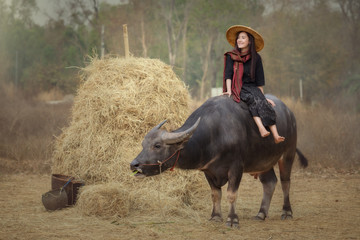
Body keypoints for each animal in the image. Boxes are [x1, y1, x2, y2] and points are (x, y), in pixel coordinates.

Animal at [131, 94, 308, 228]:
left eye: (157, 145)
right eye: (143, 144)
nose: (134, 165)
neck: (215, 134)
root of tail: (289, 113)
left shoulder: (236, 168)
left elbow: (231, 194)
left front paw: (232, 219)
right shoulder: (208, 170)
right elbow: (215, 194)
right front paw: (216, 216)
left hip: (288, 154)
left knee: (285, 182)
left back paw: (286, 212)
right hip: (263, 162)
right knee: (270, 182)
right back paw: (261, 213)